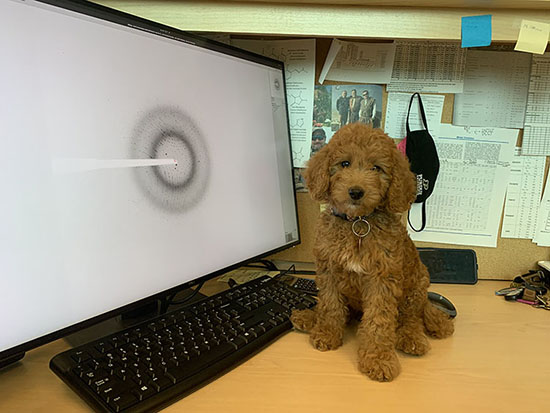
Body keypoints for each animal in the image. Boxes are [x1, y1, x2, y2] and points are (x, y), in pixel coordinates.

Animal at [294, 124, 458, 382]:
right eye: (344, 164)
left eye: (376, 168)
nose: (355, 192)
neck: (357, 222)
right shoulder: (328, 271)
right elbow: (330, 306)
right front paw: (327, 332)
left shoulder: (382, 280)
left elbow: (378, 322)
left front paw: (378, 359)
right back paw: (310, 318)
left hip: (416, 285)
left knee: (411, 318)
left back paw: (411, 338)